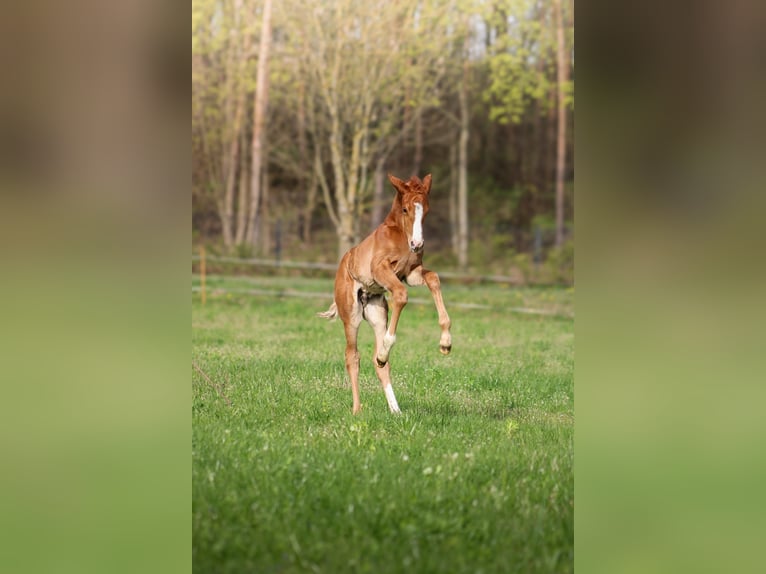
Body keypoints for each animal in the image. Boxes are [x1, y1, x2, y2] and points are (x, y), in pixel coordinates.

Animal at [316, 173, 450, 416]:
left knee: (380, 364)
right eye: (405, 209)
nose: (417, 244)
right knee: (352, 356)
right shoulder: (381, 269)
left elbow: (434, 279)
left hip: (377, 313)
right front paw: (388, 345)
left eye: (426, 209)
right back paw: (357, 409)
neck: (401, 236)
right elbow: (401, 294)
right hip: (351, 317)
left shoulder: (412, 273)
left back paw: (395, 409)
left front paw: (445, 343)